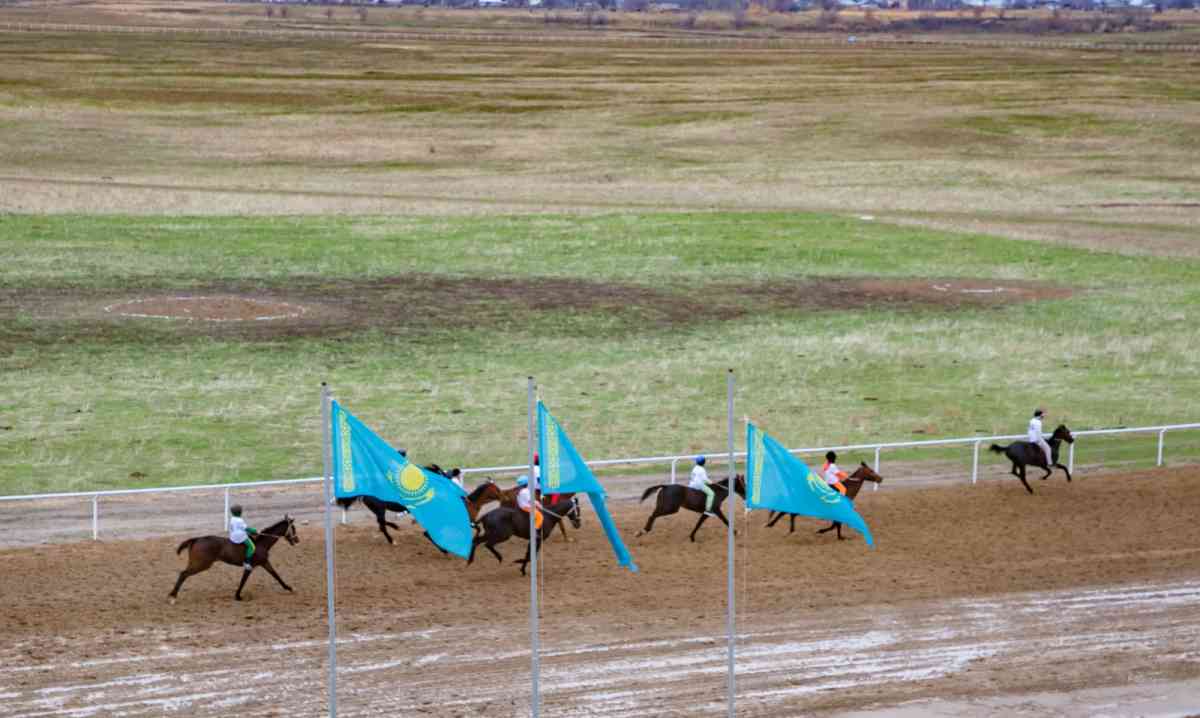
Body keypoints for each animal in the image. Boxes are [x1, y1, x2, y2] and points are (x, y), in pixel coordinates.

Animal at [169, 513, 300, 605]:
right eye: (293, 528)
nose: (297, 540)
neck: (261, 543)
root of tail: (197, 539)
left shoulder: (264, 563)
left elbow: (275, 575)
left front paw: (288, 588)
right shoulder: (251, 566)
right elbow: (244, 581)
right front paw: (238, 596)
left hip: (197, 563)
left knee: (183, 574)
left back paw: (172, 595)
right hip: (201, 564)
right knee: (183, 574)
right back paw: (173, 597)